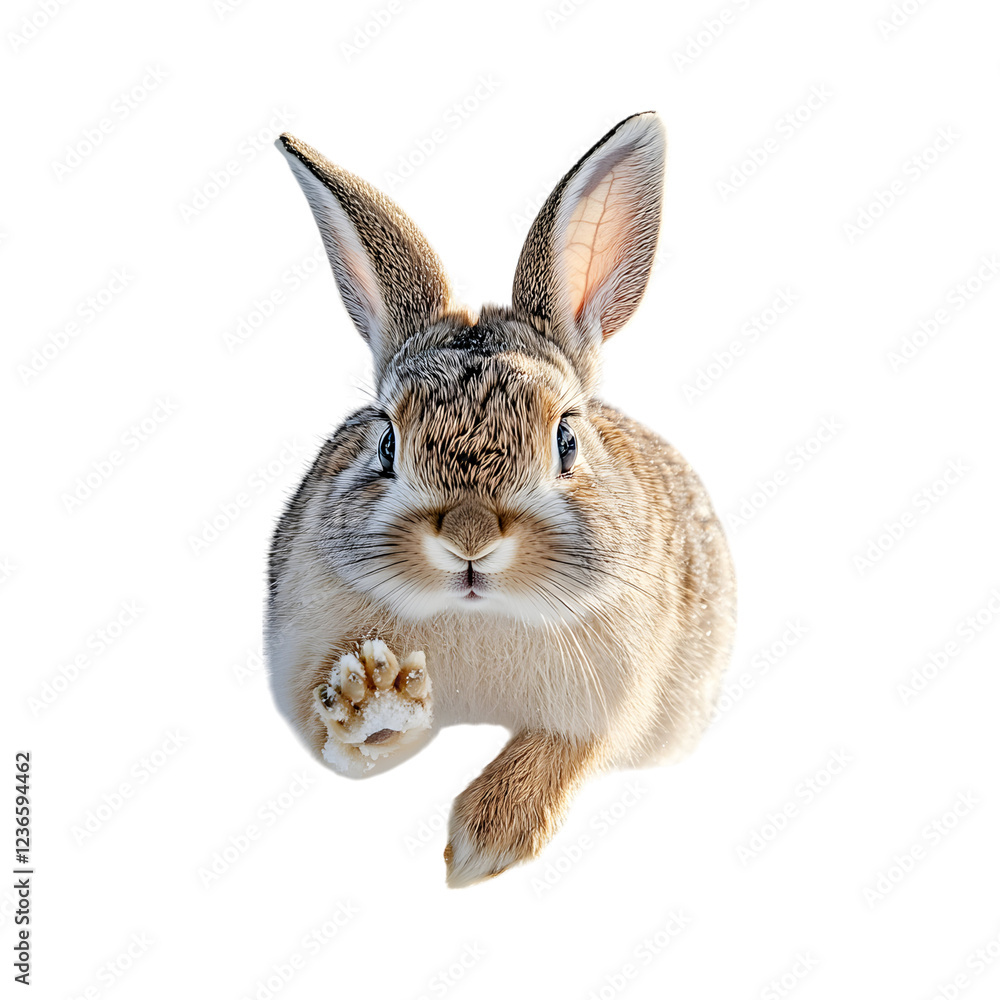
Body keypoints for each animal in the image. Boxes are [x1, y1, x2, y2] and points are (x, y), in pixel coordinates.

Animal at [266, 111, 736, 888]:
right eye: (386, 441)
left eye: (566, 440)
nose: (469, 537)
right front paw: (372, 699)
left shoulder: (617, 694)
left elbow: (565, 748)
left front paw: (485, 840)